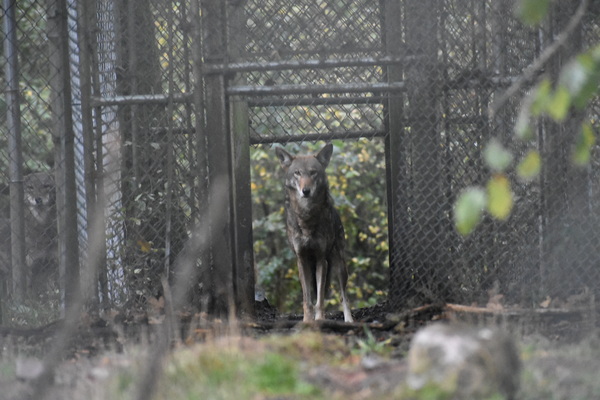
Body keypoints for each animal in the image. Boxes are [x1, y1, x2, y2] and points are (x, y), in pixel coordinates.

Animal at [275, 143, 353, 322]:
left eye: (313, 172)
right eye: (297, 173)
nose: (306, 191)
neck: (307, 217)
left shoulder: (320, 259)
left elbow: (320, 299)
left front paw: (319, 319)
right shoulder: (302, 260)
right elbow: (307, 299)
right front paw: (307, 321)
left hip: (340, 266)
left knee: (343, 295)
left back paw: (349, 320)